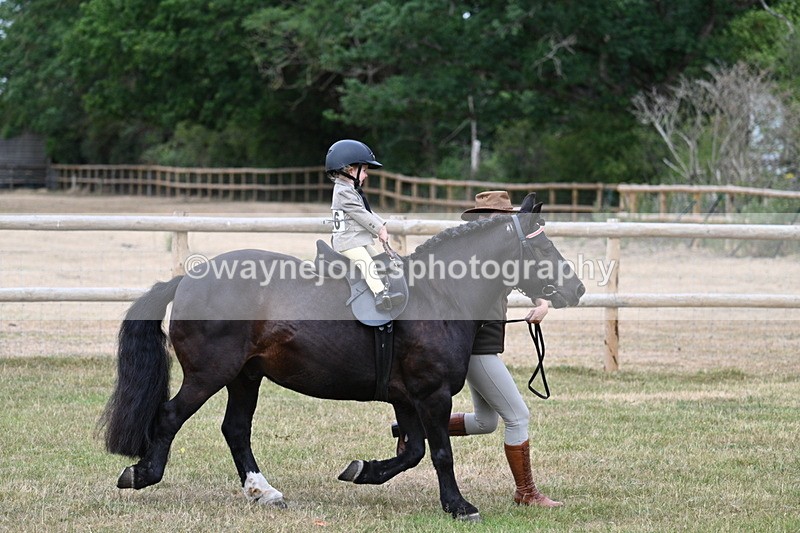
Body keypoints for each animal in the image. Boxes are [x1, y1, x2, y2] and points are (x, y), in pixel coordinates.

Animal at [101, 193, 585, 521]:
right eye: (544, 247)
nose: (576, 289)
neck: (438, 295)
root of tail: (187, 279)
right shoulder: (430, 394)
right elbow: (440, 452)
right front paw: (458, 505)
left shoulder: (406, 398)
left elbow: (411, 452)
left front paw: (361, 470)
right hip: (209, 375)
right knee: (170, 417)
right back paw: (142, 474)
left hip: (245, 377)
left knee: (235, 430)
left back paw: (264, 492)